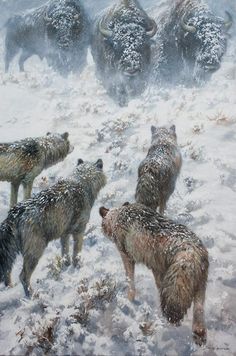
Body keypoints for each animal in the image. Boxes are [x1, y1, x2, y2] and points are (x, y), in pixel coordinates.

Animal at [0, 159, 106, 298]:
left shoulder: (65, 233)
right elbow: (76, 253)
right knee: (23, 276)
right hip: (35, 252)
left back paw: (11, 289)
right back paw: (32, 296)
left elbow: (65, 253)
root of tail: (14, 213)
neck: (81, 181)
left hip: (12, 254)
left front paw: (66, 267)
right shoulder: (79, 231)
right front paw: (77, 267)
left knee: (7, 273)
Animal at [99, 203, 208, 344]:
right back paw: (199, 334)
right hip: (198, 286)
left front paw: (129, 298)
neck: (119, 215)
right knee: (199, 310)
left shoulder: (127, 257)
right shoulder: (155, 270)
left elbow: (130, 280)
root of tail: (191, 252)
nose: (103, 232)